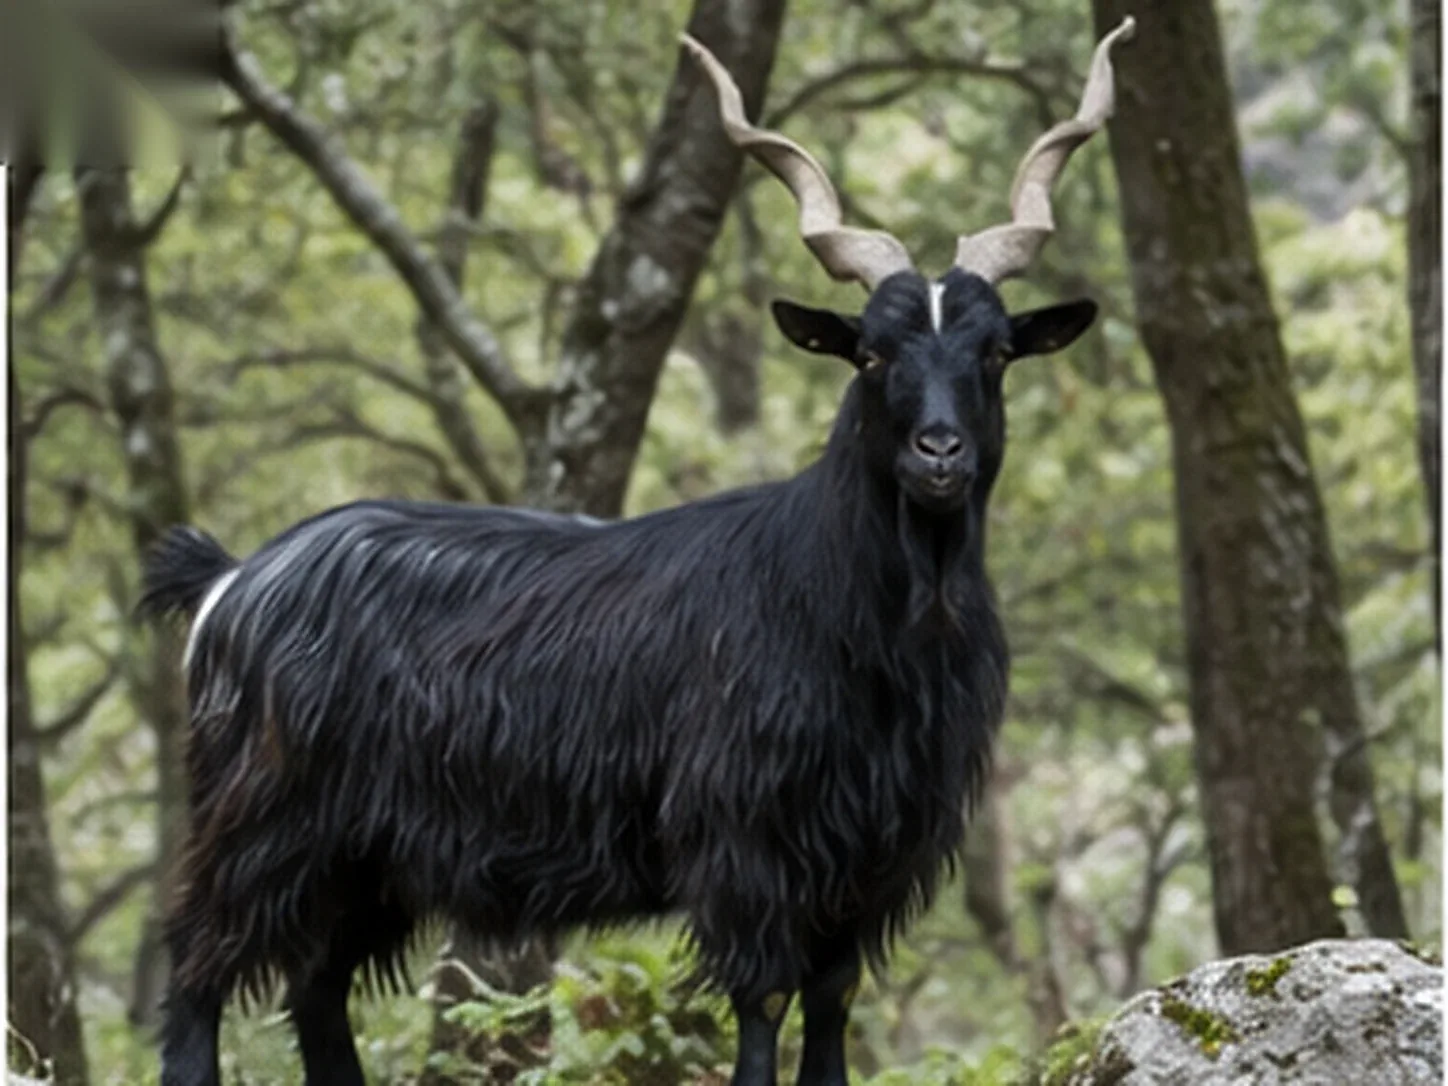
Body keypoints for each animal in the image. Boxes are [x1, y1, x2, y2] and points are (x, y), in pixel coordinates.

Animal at [146, 19, 1133, 1086]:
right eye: (871, 353)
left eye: (995, 353)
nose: (939, 453)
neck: (849, 608)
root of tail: (233, 579)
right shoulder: (747, 840)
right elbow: (765, 998)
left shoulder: (872, 856)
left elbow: (833, 1000)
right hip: (263, 820)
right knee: (196, 964)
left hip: (364, 858)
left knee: (316, 987)